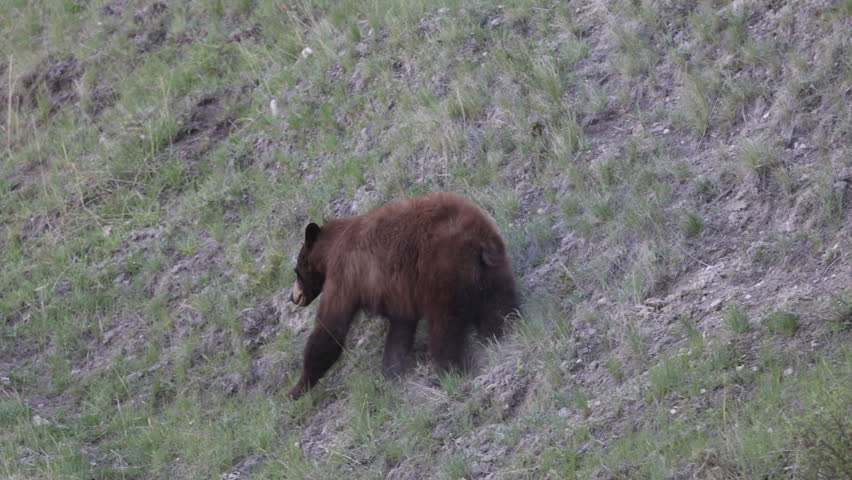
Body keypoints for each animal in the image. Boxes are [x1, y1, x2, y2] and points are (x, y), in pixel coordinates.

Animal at [287, 192, 519, 399]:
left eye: (297, 270)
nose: (293, 297)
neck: (329, 251)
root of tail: (477, 240)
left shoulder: (344, 273)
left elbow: (331, 326)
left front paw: (297, 389)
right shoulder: (397, 291)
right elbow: (400, 328)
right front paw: (391, 372)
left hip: (441, 272)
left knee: (444, 325)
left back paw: (447, 370)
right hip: (493, 272)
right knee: (499, 305)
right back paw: (502, 335)